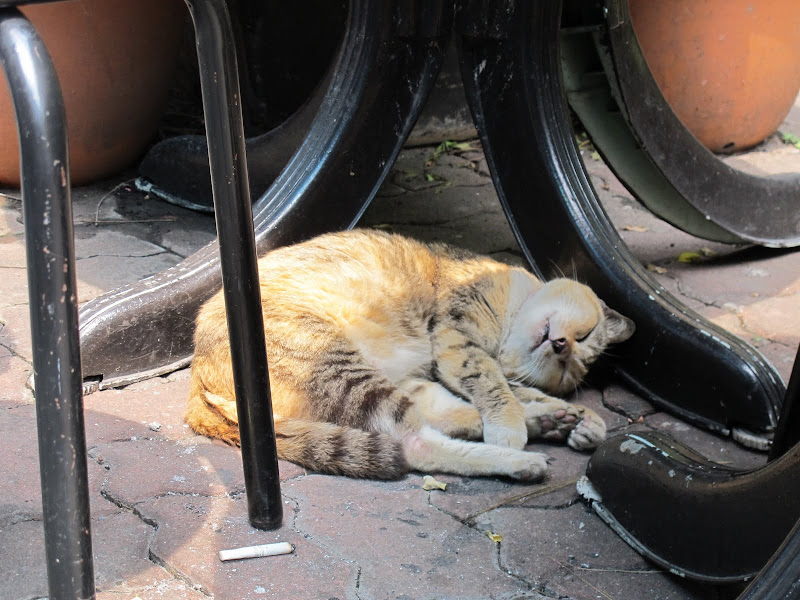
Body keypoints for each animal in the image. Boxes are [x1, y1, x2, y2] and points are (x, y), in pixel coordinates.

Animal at [184, 230, 636, 482]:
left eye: (570, 363)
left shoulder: (454, 359)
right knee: (416, 443)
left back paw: (551, 422)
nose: (562, 346)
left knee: (441, 420)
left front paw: (583, 419)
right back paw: (519, 453)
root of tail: (196, 372)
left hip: (392, 380)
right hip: (341, 368)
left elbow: (514, 391)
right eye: (584, 335)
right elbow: (493, 385)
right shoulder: (457, 339)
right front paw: (515, 425)